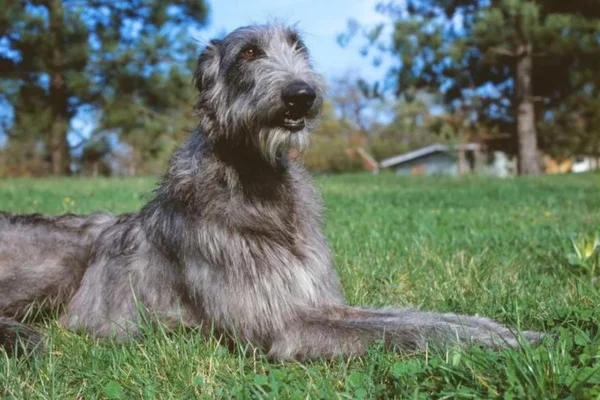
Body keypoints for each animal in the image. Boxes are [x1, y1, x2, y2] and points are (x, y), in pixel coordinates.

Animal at [0, 23, 544, 358]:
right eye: (248, 52)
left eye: (298, 47)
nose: (302, 94)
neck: (258, 185)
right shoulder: (283, 325)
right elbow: (400, 331)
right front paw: (502, 343)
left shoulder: (321, 300)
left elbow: (413, 318)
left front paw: (502, 330)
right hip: (64, 259)